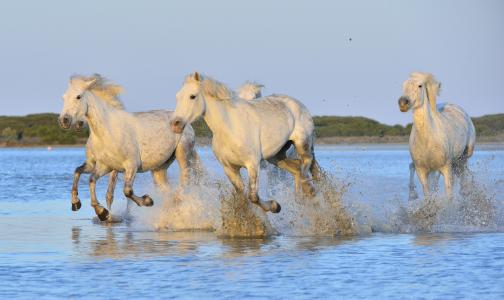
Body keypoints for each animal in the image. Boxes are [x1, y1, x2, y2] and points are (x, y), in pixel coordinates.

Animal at [59, 74, 199, 220]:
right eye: (64, 97)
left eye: (78, 96)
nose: (64, 120)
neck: (107, 131)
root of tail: (186, 122)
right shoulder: (104, 166)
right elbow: (88, 177)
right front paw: (93, 209)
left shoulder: (131, 166)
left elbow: (127, 191)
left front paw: (147, 201)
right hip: (159, 168)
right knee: (168, 192)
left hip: (182, 154)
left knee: (185, 182)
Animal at [169, 72, 318, 213]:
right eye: (177, 97)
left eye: (192, 96)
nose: (175, 124)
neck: (230, 129)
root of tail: (298, 104)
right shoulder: (229, 168)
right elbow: (242, 194)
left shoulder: (252, 164)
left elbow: (253, 196)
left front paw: (275, 206)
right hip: (276, 157)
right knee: (297, 168)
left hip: (302, 144)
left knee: (306, 164)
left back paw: (307, 190)